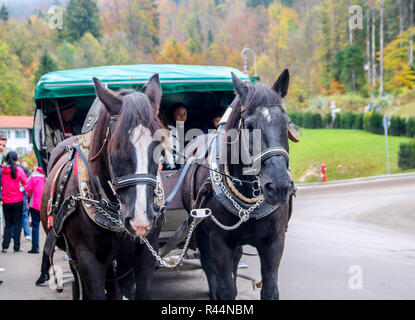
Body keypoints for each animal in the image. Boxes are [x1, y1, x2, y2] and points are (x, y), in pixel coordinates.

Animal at [182, 70, 296, 300]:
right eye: (250, 126)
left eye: (286, 123)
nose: (279, 186)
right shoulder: (219, 241)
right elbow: (226, 288)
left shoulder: (274, 241)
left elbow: (270, 290)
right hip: (201, 232)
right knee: (210, 268)